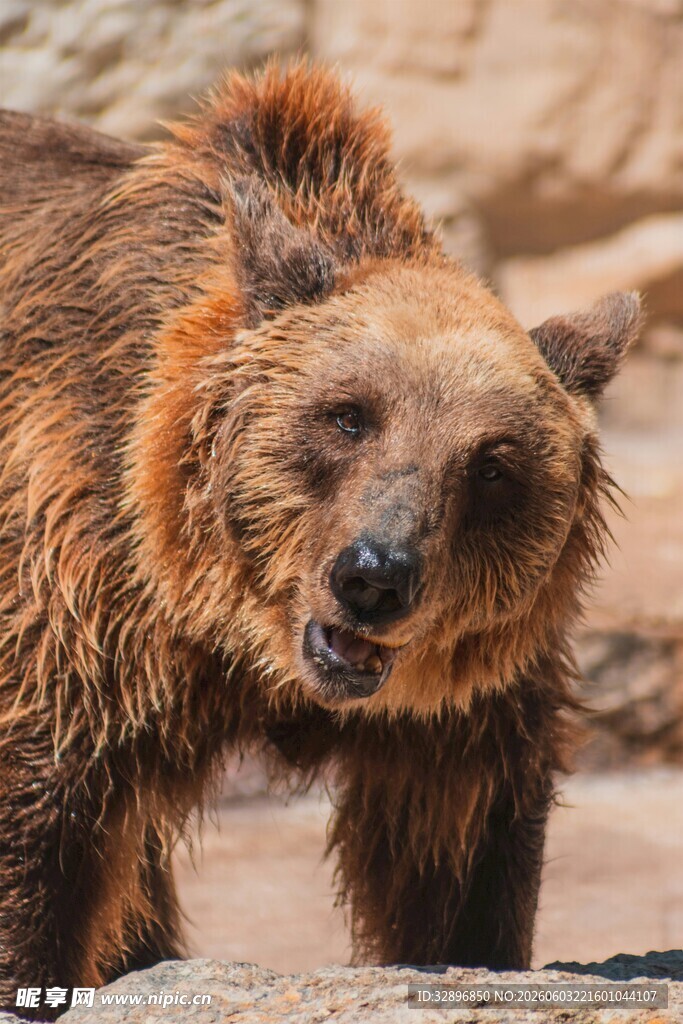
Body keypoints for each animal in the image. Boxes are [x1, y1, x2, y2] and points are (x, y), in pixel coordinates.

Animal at [0, 61, 640, 1016]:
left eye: (491, 464)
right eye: (347, 416)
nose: (374, 576)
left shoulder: (461, 704)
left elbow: (459, 851)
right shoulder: (77, 587)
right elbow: (42, 822)